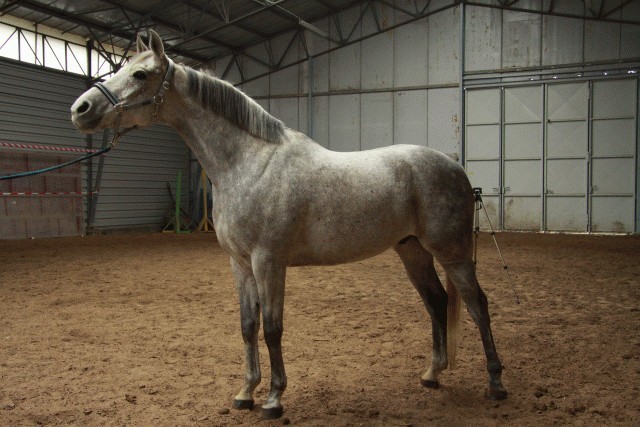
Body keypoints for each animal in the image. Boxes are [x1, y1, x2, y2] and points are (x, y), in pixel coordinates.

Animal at [71, 30, 504, 422]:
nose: (81, 108)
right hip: (412, 250)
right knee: (437, 302)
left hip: (452, 253)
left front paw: (274, 399)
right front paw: (245, 392)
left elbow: (272, 328)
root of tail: (456, 170)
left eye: (140, 74)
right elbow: (247, 326)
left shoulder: (269, 261)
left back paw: (495, 383)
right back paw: (432, 374)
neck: (249, 162)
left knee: (477, 305)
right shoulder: (240, 264)